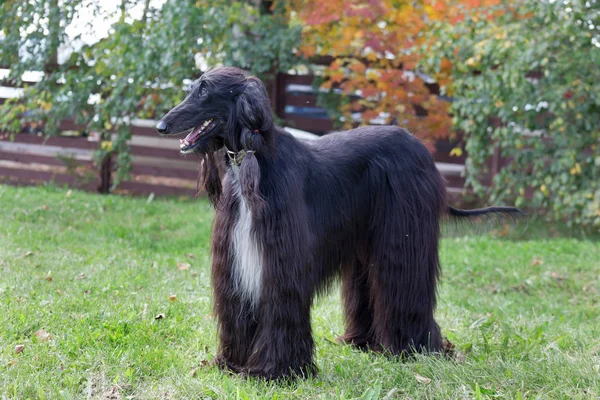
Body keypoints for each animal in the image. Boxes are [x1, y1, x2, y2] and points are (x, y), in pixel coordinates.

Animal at [156, 67, 524, 380]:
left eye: (205, 91)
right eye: (194, 87)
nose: (161, 126)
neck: (251, 159)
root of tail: (422, 150)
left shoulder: (281, 261)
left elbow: (282, 309)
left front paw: (276, 372)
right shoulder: (234, 262)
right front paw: (231, 365)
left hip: (402, 237)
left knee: (404, 287)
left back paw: (413, 348)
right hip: (366, 241)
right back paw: (364, 342)